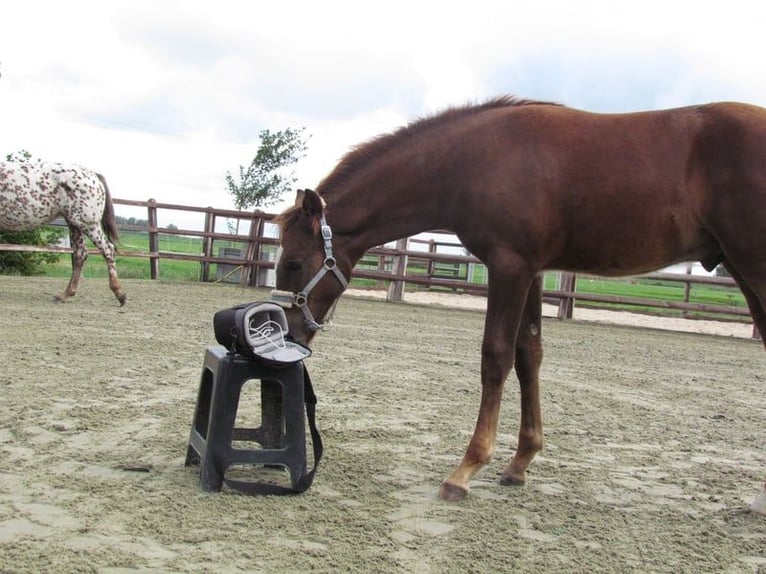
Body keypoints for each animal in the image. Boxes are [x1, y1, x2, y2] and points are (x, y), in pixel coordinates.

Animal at [0, 161, 127, 306]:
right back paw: (64, 295)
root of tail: (94, 175)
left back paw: (119, 294)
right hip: (74, 224)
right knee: (80, 254)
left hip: (88, 224)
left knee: (108, 250)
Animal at [272, 97, 766, 516]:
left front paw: (465, 471)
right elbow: (529, 355)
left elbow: (496, 356)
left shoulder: (508, 265)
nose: (287, 333)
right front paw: (519, 463)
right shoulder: (532, 271)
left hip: (752, 263)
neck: (473, 159)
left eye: (294, 262)